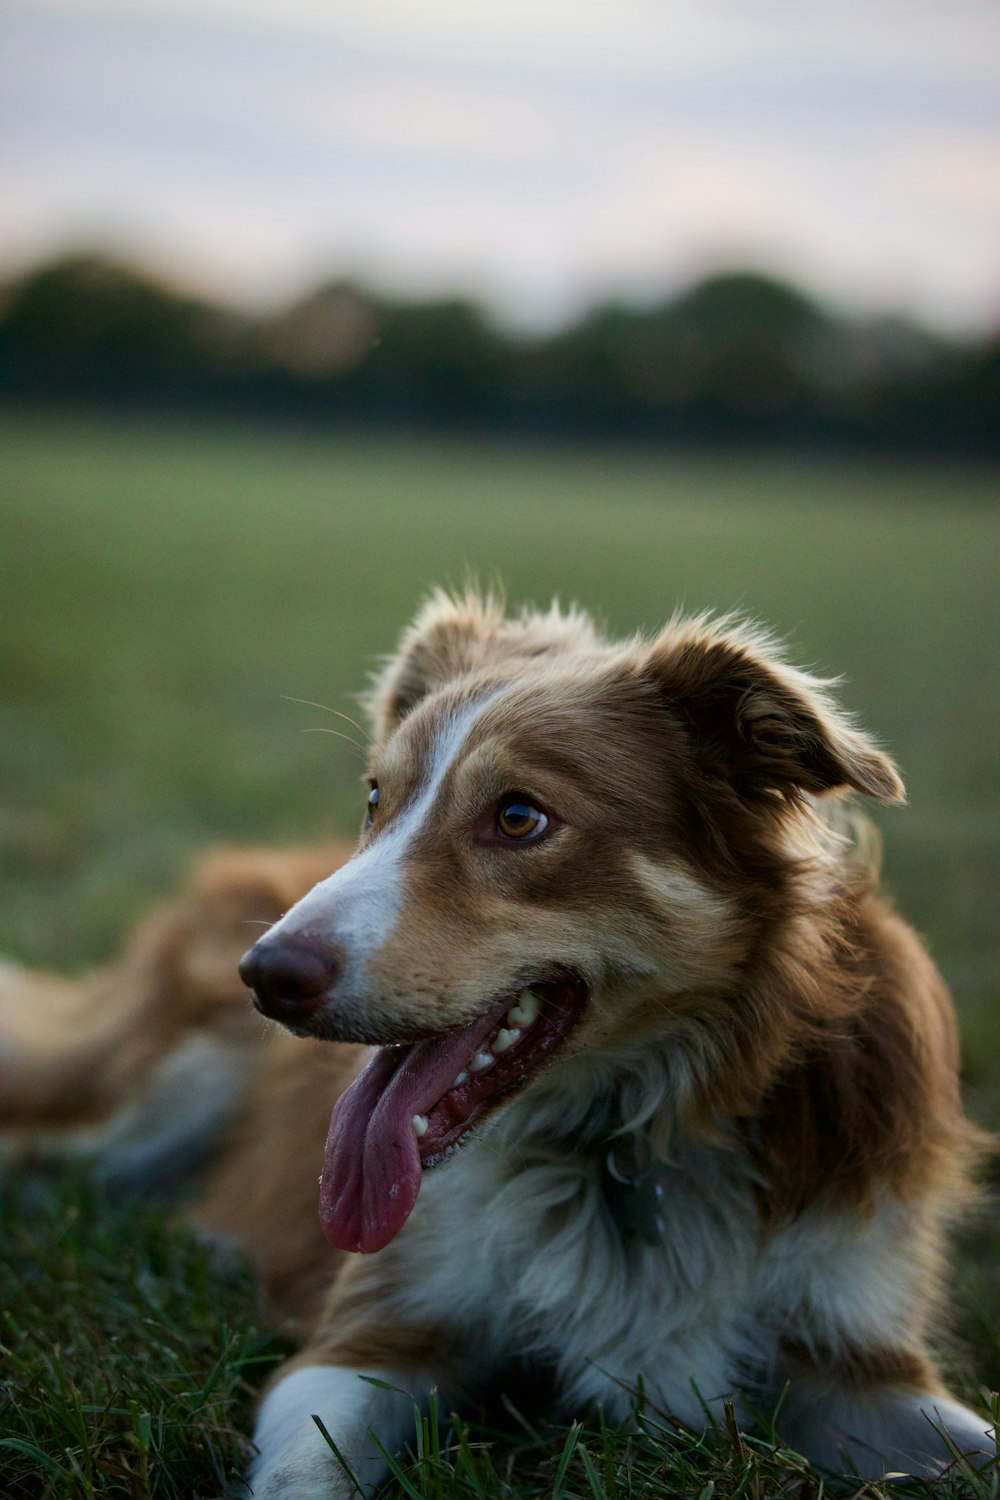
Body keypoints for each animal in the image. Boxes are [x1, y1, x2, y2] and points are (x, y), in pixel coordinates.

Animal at [1, 591, 995, 1494]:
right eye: (375, 798)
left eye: (520, 818)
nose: (266, 975)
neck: (624, 1141)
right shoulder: (372, 1334)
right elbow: (310, 1464)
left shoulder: (854, 1348)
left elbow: (968, 1445)